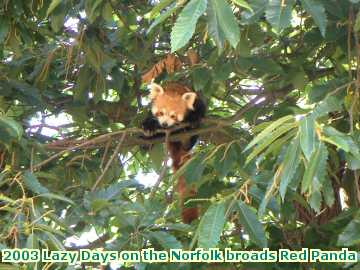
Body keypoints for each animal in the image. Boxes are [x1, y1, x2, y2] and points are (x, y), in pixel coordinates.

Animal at [142, 81, 207, 224]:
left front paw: (194, 119)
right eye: (161, 113)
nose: (165, 124)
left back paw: (188, 140)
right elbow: (149, 120)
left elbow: (201, 111)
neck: (174, 89)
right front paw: (149, 126)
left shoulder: (198, 102)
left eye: (173, 116)